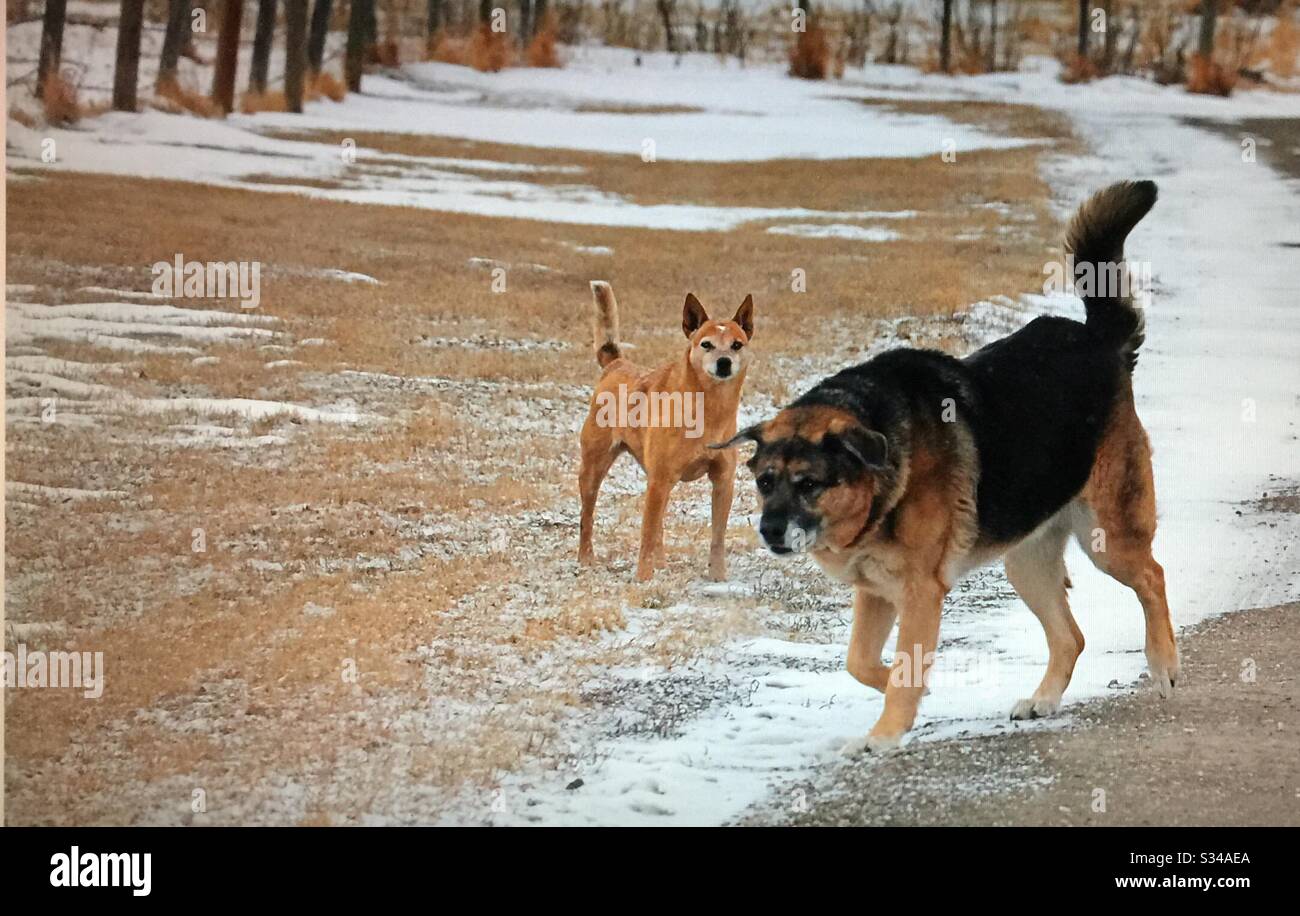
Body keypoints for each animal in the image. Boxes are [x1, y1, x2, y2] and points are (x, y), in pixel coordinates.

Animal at [712, 180, 1180, 748]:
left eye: (809, 484)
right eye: (764, 482)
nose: (771, 532)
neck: (884, 481)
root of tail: (1098, 340)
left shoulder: (919, 592)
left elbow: (894, 667)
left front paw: (884, 734)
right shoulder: (878, 591)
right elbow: (860, 662)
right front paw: (911, 694)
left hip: (1108, 538)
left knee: (1153, 576)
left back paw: (1163, 665)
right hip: (1025, 561)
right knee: (1070, 637)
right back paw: (1043, 699)